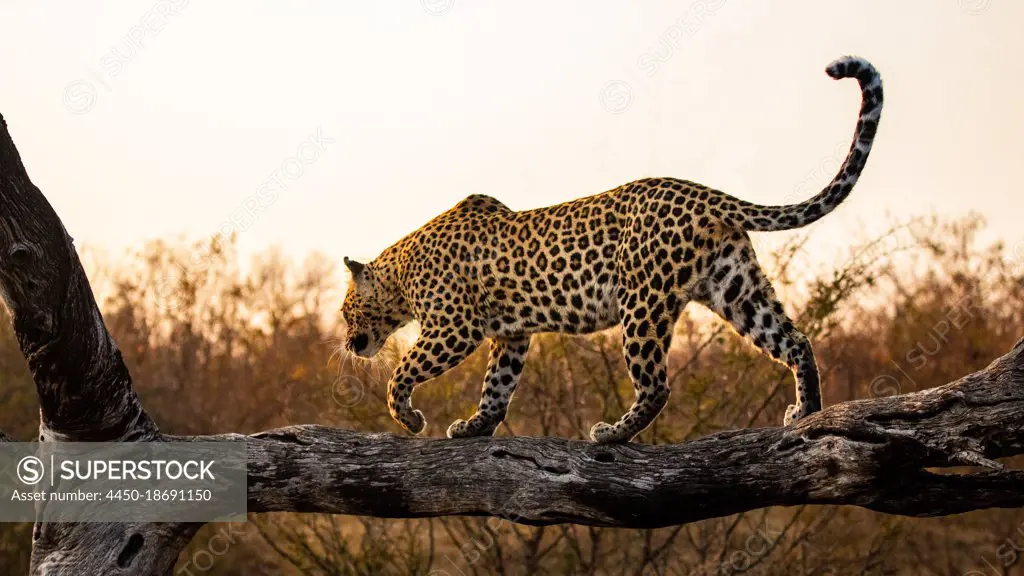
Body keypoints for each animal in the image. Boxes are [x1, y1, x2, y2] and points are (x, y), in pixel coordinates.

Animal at [342, 56, 880, 440]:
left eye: (347, 313)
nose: (349, 344)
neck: (400, 272)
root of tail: (707, 193)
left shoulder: (454, 327)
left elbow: (403, 372)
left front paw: (409, 417)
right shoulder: (511, 336)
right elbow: (497, 386)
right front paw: (475, 427)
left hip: (642, 302)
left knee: (657, 385)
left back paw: (613, 434)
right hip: (736, 288)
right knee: (796, 341)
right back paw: (806, 415)